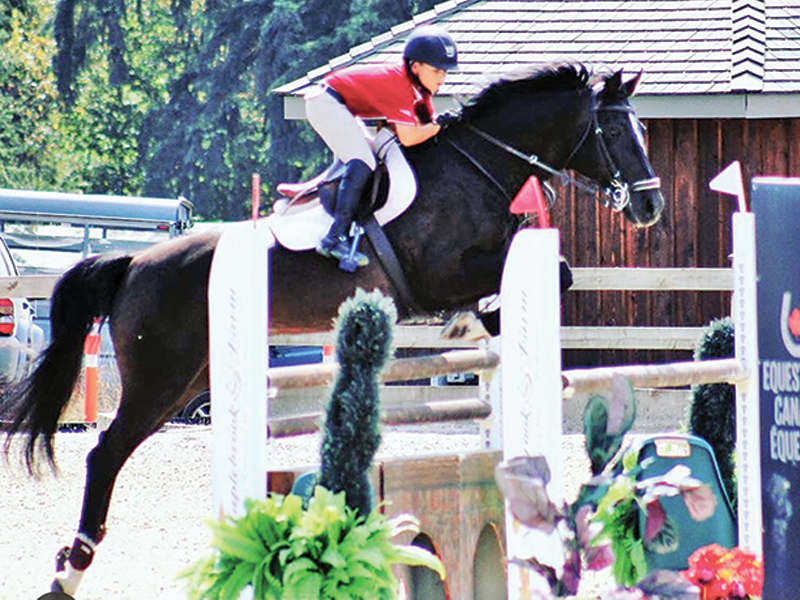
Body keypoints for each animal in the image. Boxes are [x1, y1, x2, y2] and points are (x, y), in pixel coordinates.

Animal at [2, 62, 664, 595]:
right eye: (615, 134)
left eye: (643, 131)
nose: (650, 207)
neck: (480, 165)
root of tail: (133, 265)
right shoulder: (437, 272)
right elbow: (553, 272)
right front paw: (470, 323)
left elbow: (545, 275)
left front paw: (486, 323)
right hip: (157, 381)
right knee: (105, 453)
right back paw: (71, 569)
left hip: (192, 380)